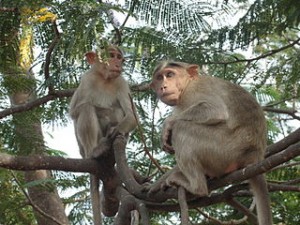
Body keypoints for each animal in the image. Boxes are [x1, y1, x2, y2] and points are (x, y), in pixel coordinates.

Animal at [69, 46, 137, 225]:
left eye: (119, 57)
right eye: (111, 55)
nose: (117, 64)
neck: (105, 79)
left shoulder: (122, 82)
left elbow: (131, 116)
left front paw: (114, 127)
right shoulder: (87, 79)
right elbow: (74, 111)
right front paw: (105, 114)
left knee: (119, 110)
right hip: (83, 148)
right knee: (86, 107)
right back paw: (96, 151)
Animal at [149, 60, 272, 224]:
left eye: (169, 74)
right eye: (159, 78)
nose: (163, 86)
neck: (188, 84)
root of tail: (254, 155)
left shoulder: (195, 91)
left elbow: (215, 110)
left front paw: (168, 123)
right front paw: (157, 183)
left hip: (225, 149)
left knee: (181, 128)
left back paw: (197, 187)